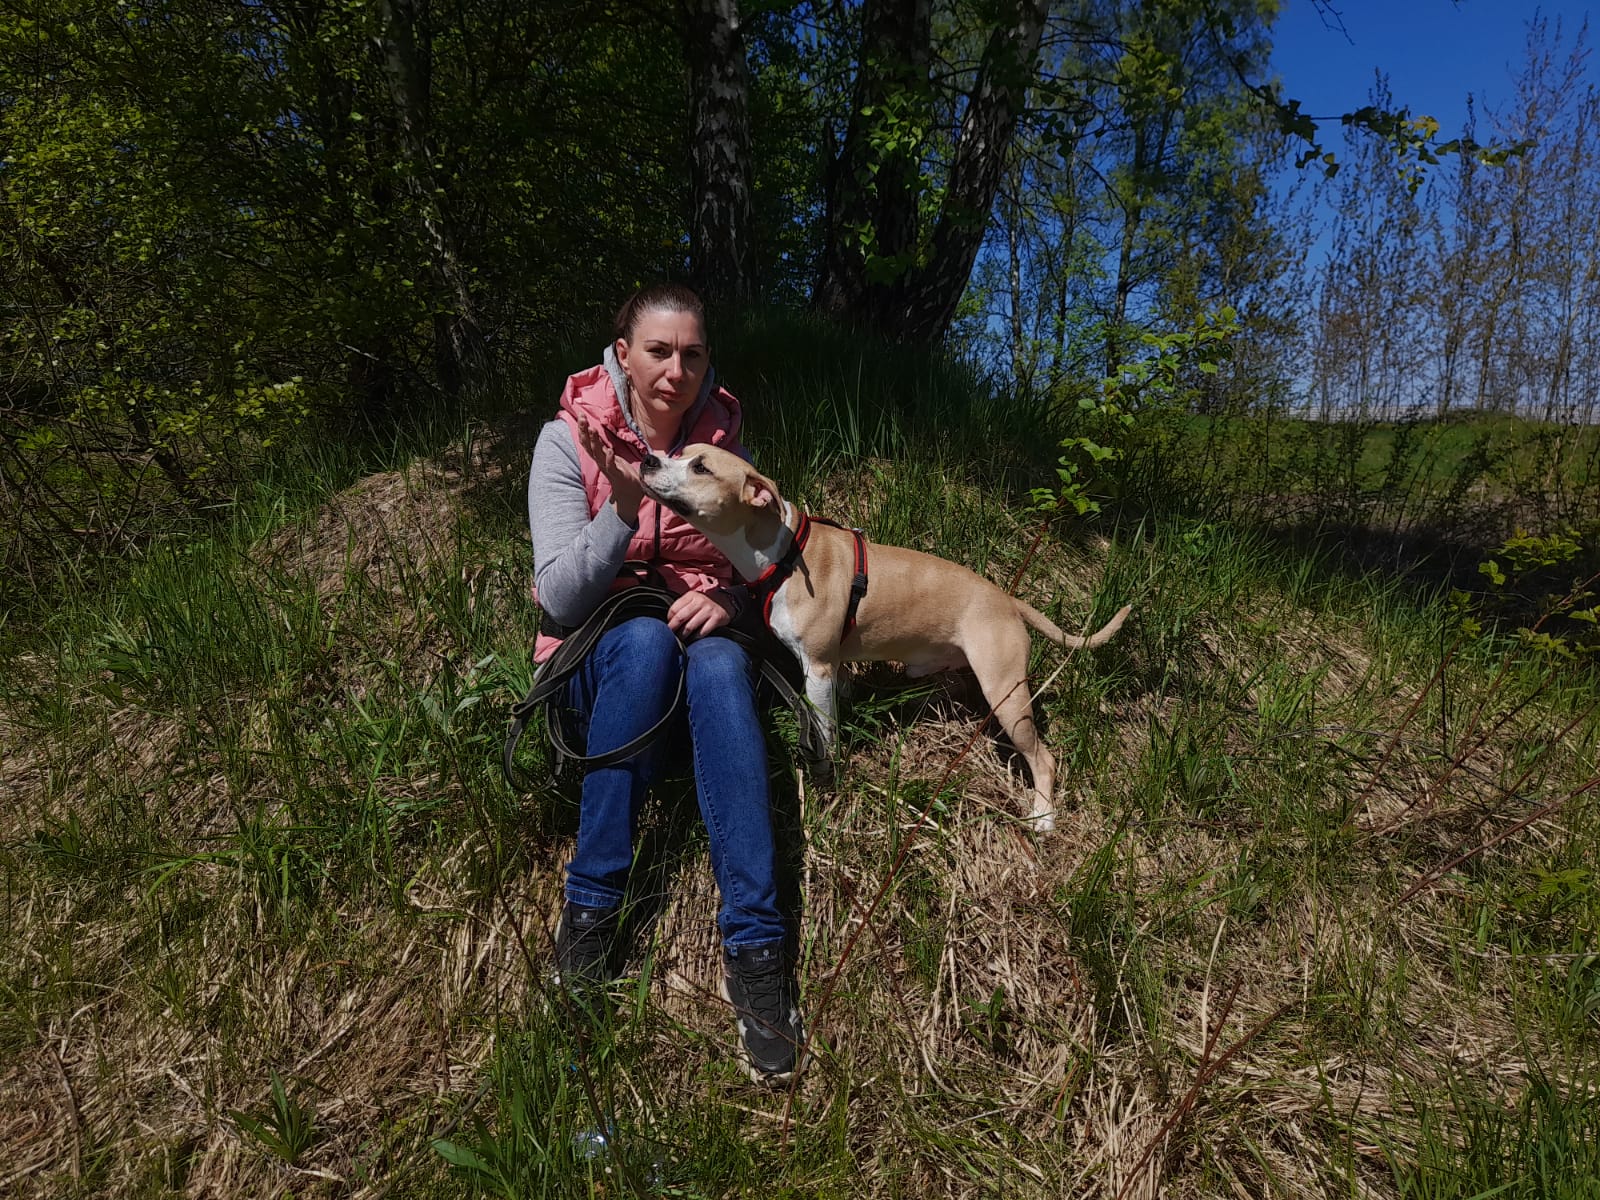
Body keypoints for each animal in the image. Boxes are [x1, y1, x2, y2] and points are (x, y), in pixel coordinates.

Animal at [638, 444, 1130, 832]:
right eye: (678, 452)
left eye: (701, 467)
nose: (647, 458)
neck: (783, 553)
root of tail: (1009, 600)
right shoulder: (831, 667)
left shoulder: (817, 668)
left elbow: (825, 731)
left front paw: (825, 778)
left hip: (1007, 694)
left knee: (1043, 758)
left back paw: (1043, 817)